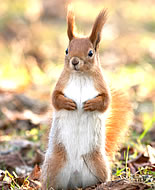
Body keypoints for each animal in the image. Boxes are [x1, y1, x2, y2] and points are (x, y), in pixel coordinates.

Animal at [40, 7, 131, 190]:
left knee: (100, 178)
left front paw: (90, 104)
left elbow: (106, 102)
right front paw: (68, 103)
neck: (80, 76)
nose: (75, 61)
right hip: (54, 165)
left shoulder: (102, 87)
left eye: (90, 53)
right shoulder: (60, 84)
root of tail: (75, 178)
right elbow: (55, 99)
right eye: (67, 50)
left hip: (97, 164)